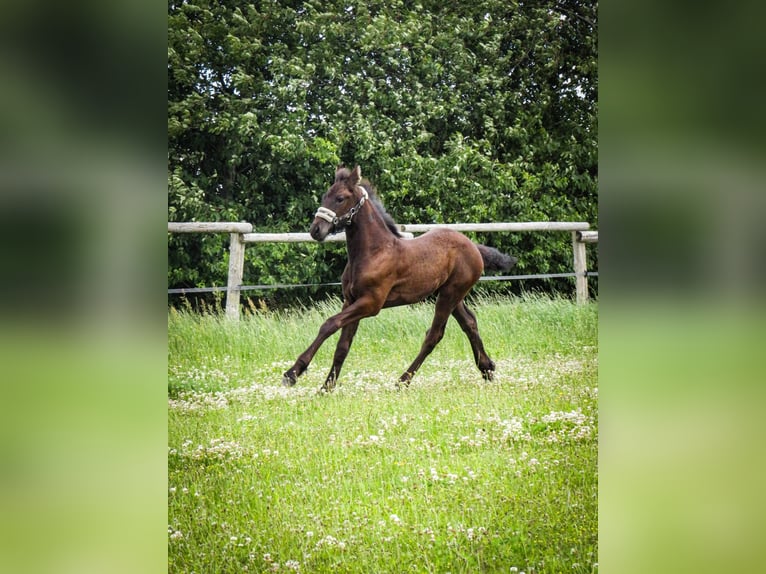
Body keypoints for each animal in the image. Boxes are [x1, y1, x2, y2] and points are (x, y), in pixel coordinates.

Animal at [282, 164, 516, 394]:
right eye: (324, 196)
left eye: (340, 198)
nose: (316, 230)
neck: (373, 252)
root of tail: (473, 247)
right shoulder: (351, 301)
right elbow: (342, 346)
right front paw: (326, 387)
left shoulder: (371, 304)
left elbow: (329, 324)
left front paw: (293, 373)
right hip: (449, 294)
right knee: (469, 322)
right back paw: (487, 368)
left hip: (450, 294)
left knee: (434, 335)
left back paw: (402, 381)